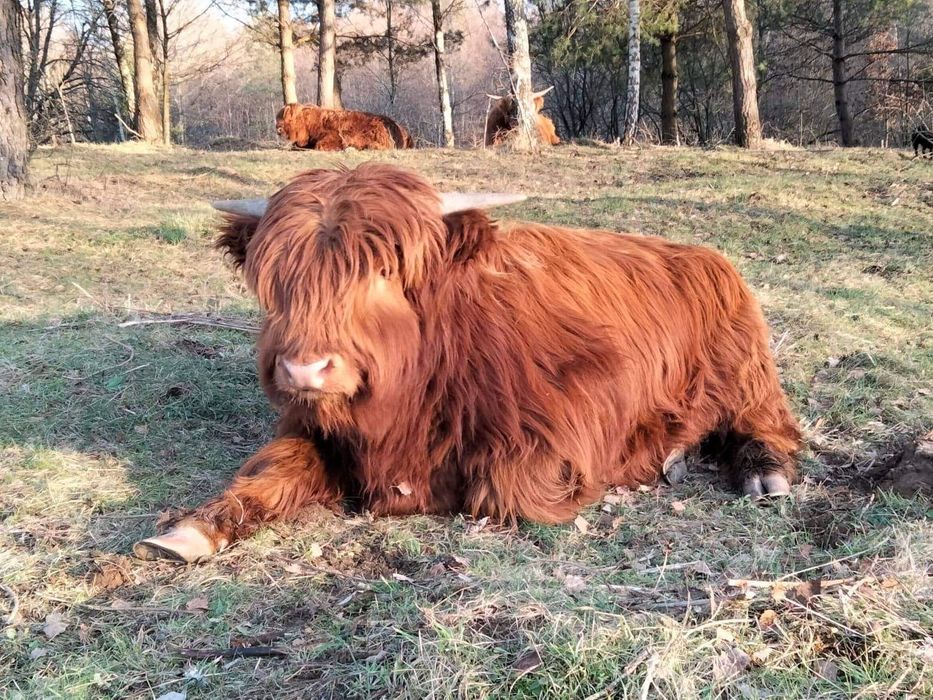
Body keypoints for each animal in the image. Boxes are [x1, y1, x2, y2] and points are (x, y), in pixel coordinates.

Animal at [135, 164, 804, 564]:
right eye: (278, 278)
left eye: (384, 270)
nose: (305, 370)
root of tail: (705, 255)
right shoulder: (314, 427)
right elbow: (273, 469)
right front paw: (190, 529)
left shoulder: (572, 421)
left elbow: (499, 485)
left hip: (746, 374)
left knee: (763, 423)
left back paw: (756, 470)